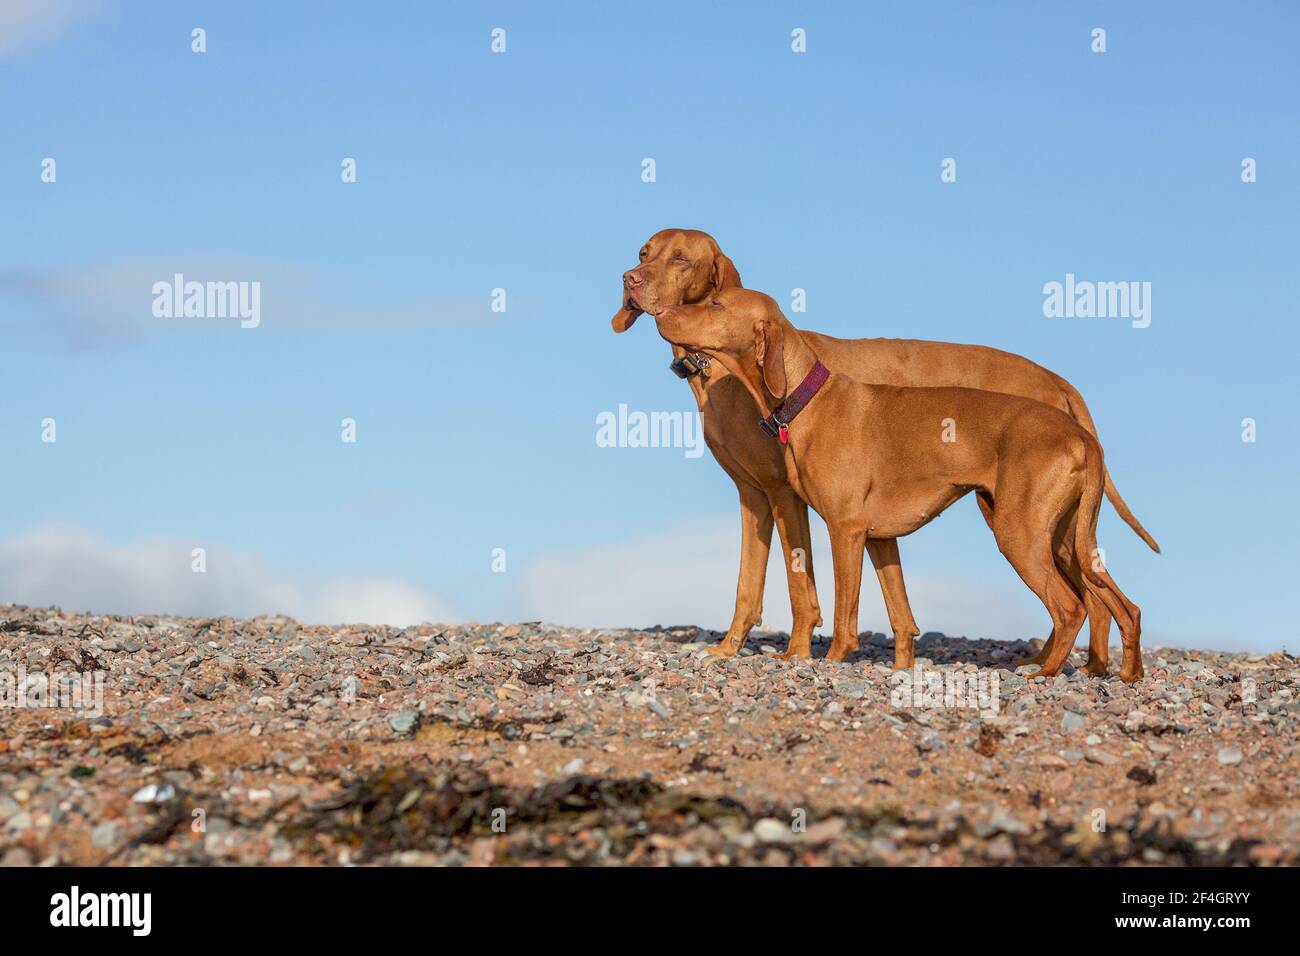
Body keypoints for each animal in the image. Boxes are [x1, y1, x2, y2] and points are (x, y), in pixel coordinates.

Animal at [613, 227, 1154, 676]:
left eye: (684, 263)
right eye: (644, 252)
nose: (630, 280)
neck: (805, 393)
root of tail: (1067, 401)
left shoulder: (822, 516)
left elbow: (823, 603)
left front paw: (810, 659)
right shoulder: (842, 524)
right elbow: (890, 612)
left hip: (1020, 532)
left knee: (1074, 605)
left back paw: (1048, 672)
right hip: (1063, 533)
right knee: (1114, 603)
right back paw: (1112, 672)